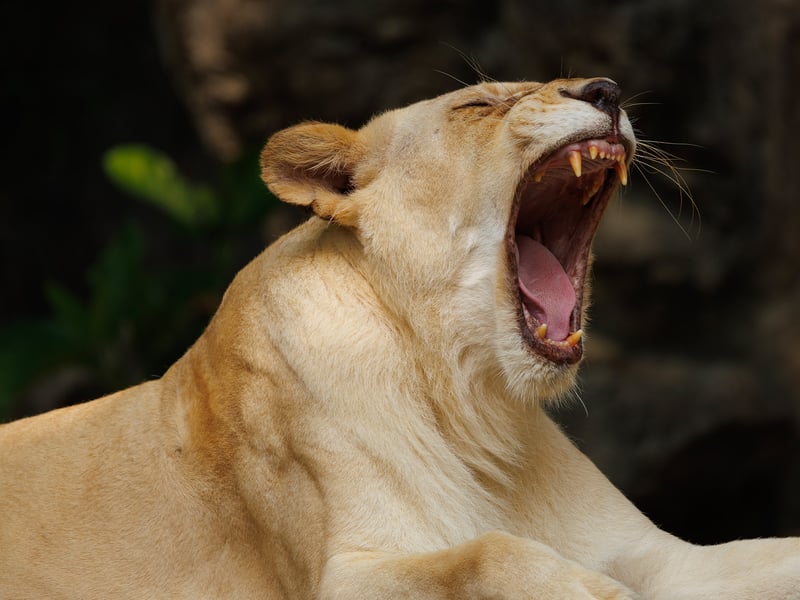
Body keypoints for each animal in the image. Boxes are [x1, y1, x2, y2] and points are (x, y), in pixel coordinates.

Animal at [1, 77, 798, 599]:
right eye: (480, 104)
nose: (606, 89)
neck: (474, 403)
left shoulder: (656, 553)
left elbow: (772, 553)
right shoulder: (338, 576)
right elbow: (487, 555)